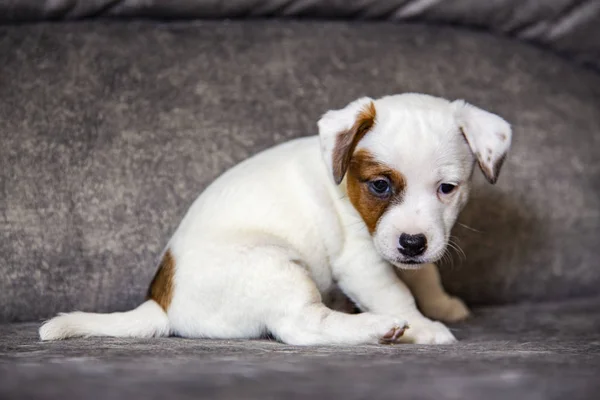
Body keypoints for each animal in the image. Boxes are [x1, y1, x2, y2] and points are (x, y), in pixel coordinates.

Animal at [39, 93, 512, 344]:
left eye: (447, 188)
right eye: (380, 186)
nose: (412, 244)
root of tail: (163, 303)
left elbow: (425, 276)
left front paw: (442, 304)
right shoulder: (361, 263)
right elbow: (397, 295)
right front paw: (424, 327)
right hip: (276, 265)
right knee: (302, 326)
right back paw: (378, 328)